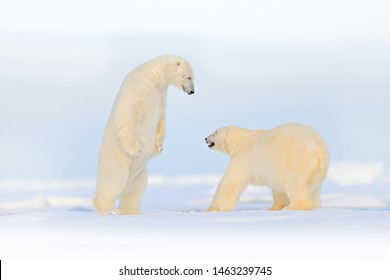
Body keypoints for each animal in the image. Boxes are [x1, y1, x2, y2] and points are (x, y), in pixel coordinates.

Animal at [94, 55, 195, 215]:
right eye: (189, 76)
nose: (192, 91)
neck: (155, 77)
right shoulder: (140, 86)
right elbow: (128, 113)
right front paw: (136, 149)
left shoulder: (161, 95)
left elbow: (161, 119)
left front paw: (159, 147)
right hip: (116, 159)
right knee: (113, 181)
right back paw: (108, 209)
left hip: (139, 174)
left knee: (135, 191)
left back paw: (134, 211)